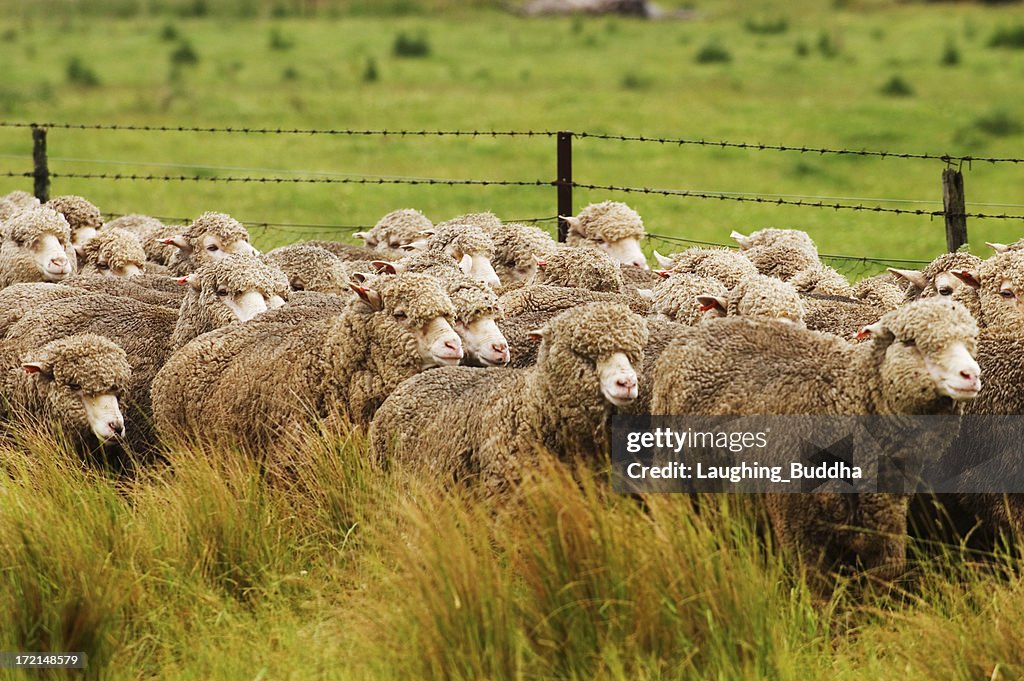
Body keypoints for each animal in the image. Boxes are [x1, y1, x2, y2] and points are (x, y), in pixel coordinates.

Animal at [651, 299, 978, 589]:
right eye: (910, 342)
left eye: (971, 341)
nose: (971, 375)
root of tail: (696, 331)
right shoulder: (798, 529)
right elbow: (820, 592)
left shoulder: (885, 519)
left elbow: (884, 580)